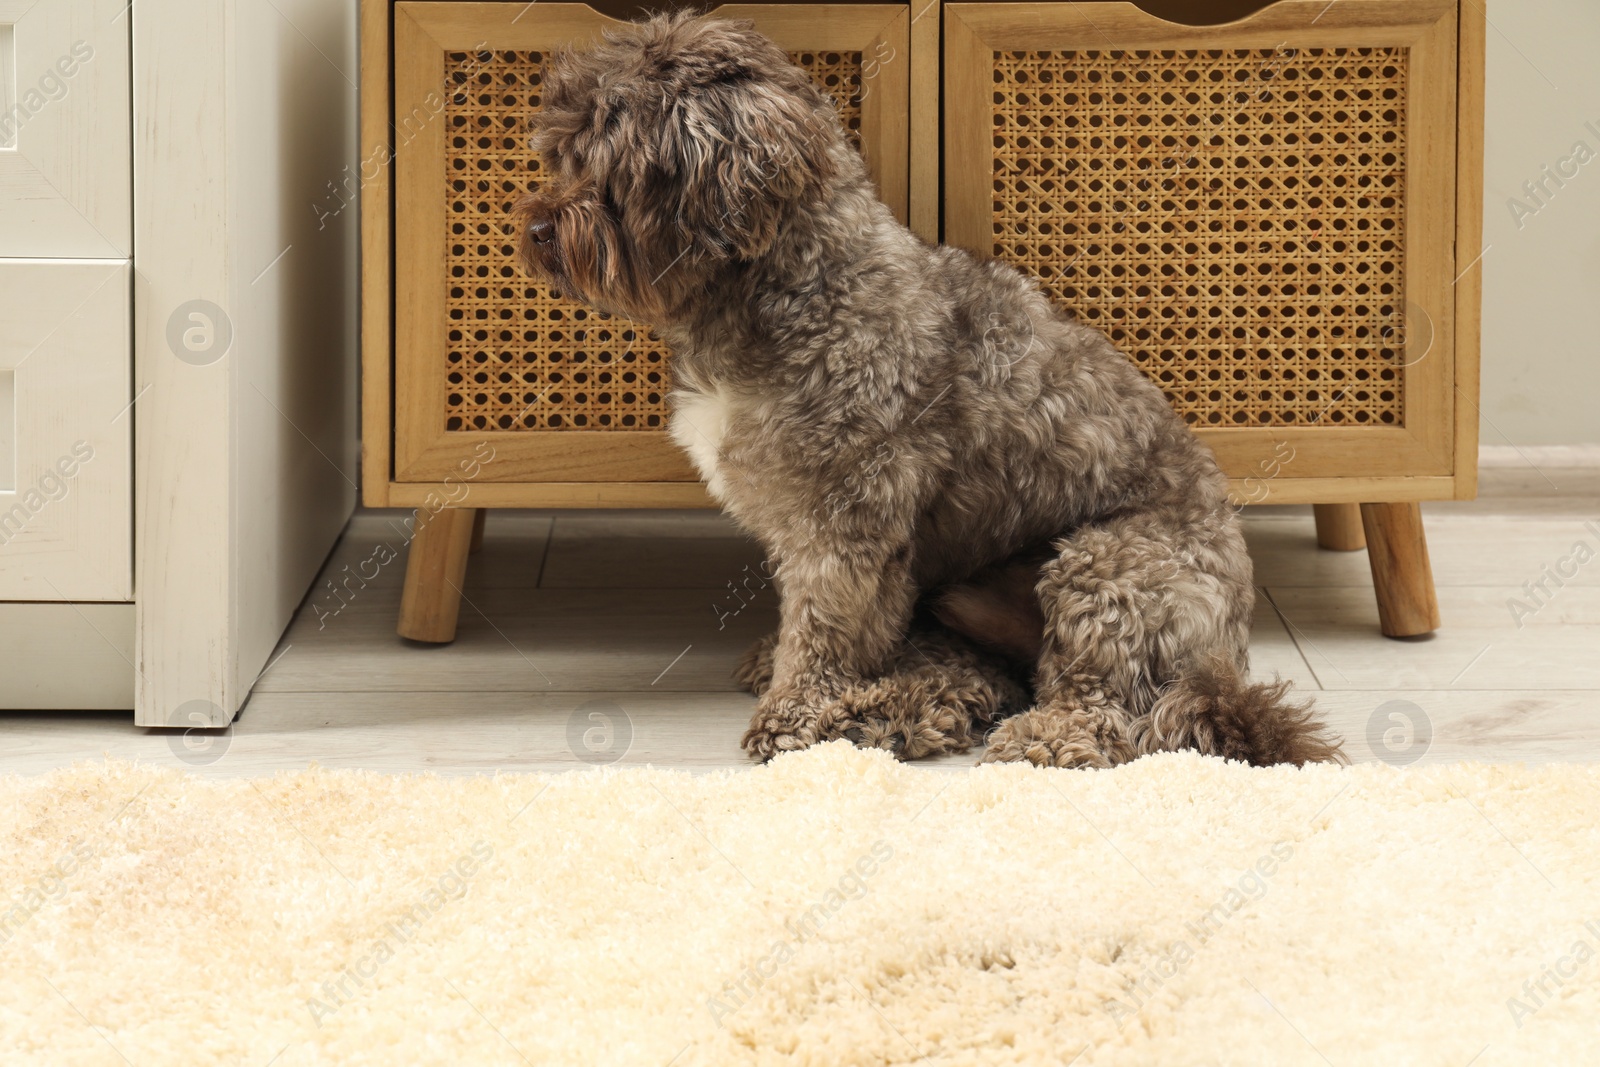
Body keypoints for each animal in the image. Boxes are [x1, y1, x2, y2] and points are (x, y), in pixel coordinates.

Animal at [512, 14, 1337, 767]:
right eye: (562, 153)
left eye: (609, 164)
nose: (536, 228)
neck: (797, 284)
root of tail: (1227, 655)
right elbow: (823, 621)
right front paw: (789, 674)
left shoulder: (846, 518)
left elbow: (824, 628)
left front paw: (794, 710)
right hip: (962, 600)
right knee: (976, 679)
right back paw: (893, 714)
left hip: (1110, 569)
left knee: (1104, 706)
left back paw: (1032, 736)